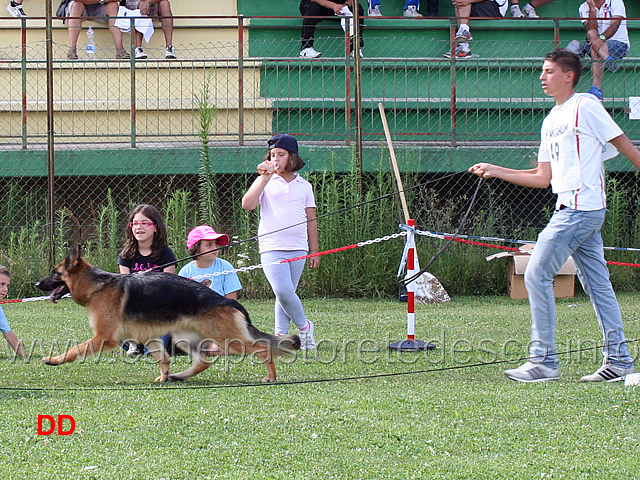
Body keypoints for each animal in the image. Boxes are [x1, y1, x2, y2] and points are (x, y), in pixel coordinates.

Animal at [36, 244, 302, 382]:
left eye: (54, 272)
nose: (37, 284)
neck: (97, 286)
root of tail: (226, 301)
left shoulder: (102, 338)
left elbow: (75, 350)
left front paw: (55, 359)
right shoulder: (151, 338)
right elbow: (163, 360)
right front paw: (164, 377)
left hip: (227, 339)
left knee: (263, 349)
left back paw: (270, 377)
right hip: (186, 339)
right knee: (203, 362)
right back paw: (179, 376)